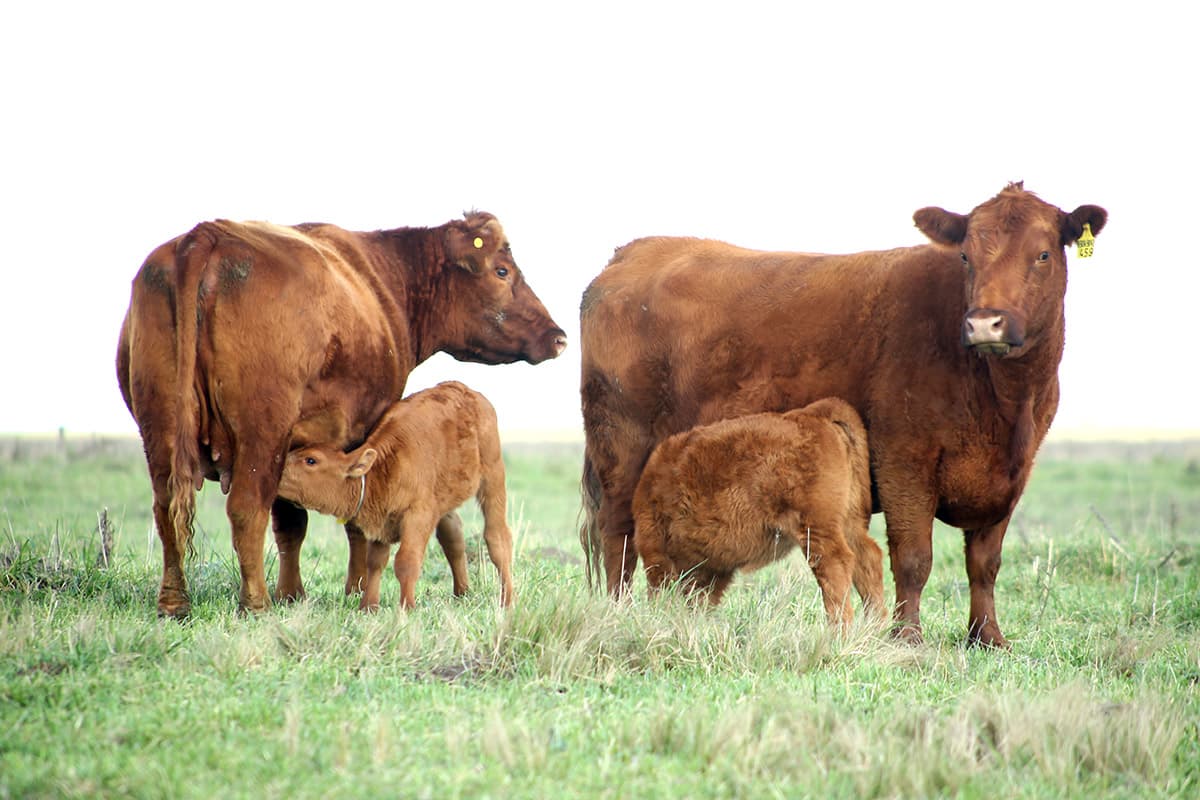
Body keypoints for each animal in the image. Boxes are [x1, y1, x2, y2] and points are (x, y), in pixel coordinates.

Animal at [277, 381, 514, 610]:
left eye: (311, 460)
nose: (279, 468)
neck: (381, 470)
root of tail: (467, 391)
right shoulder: (382, 523)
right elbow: (375, 562)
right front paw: (368, 606)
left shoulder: (418, 516)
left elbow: (406, 561)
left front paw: (406, 607)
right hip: (445, 497)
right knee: (453, 535)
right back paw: (462, 593)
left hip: (493, 478)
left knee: (498, 538)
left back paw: (507, 600)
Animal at [633, 397, 884, 625]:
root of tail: (815, 415)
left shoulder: (657, 550)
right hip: (849, 522)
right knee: (868, 558)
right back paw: (875, 628)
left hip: (817, 528)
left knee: (835, 565)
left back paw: (839, 631)